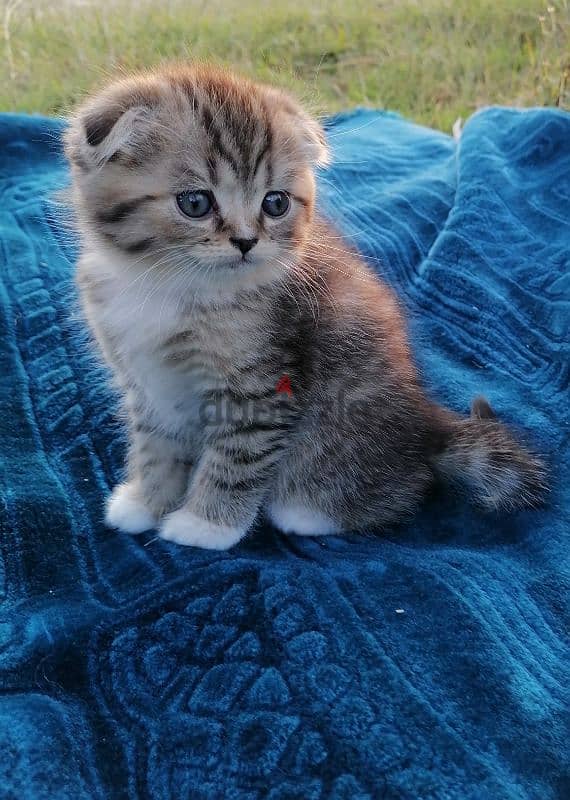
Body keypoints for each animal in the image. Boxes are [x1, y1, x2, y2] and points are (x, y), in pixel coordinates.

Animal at [63, 64, 544, 552]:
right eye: (195, 202)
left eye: (275, 203)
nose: (246, 241)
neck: (169, 286)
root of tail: (428, 426)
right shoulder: (147, 383)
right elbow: (156, 448)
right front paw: (147, 502)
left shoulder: (262, 385)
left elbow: (237, 458)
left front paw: (207, 525)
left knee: (406, 487)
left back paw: (310, 513)